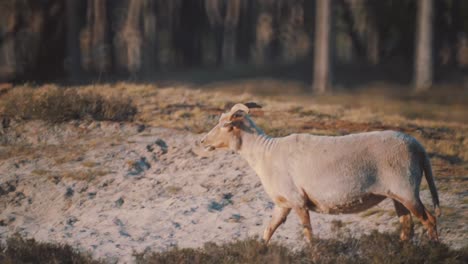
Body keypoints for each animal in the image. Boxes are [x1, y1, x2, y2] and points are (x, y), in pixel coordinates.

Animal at [202, 103, 442, 243]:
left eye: (224, 125)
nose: (202, 141)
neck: (264, 153)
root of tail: (418, 147)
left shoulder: (298, 201)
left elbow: (309, 236)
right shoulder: (283, 203)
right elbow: (268, 231)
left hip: (407, 189)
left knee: (429, 220)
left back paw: (433, 249)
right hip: (397, 194)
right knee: (407, 227)